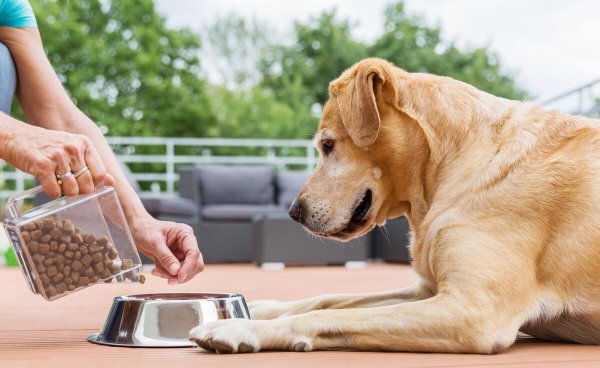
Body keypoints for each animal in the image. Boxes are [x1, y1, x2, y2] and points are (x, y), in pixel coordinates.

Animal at [190, 57, 600, 354]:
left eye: (328, 145)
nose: (293, 212)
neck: (452, 162)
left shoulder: (473, 310)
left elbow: (326, 317)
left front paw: (240, 326)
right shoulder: (427, 290)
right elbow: (328, 300)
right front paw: (260, 308)